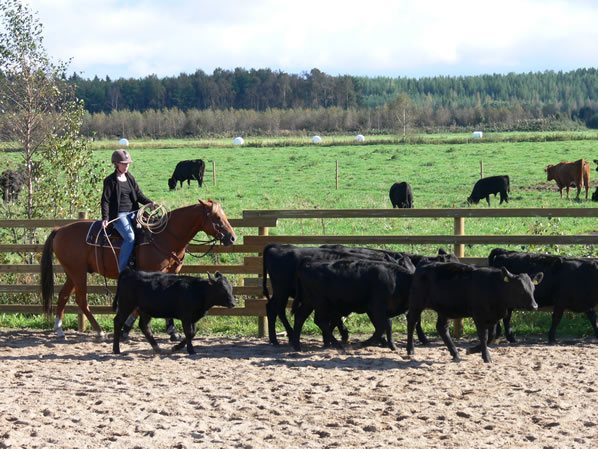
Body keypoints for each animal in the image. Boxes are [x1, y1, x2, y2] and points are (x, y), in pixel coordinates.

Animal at [39, 198, 237, 338]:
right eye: (217, 217)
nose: (232, 238)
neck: (164, 236)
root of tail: (59, 230)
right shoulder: (151, 274)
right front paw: (126, 328)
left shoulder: (171, 273)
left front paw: (172, 331)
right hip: (78, 272)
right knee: (81, 300)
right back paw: (99, 331)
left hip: (72, 272)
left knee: (64, 295)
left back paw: (59, 329)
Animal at [408, 260, 544, 362]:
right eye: (520, 290)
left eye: (533, 289)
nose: (534, 306)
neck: (495, 287)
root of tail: (423, 265)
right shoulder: (478, 315)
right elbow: (483, 336)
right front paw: (486, 357)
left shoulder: (494, 317)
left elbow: (491, 336)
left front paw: (472, 350)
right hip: (416, 303)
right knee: (412, 322)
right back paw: (410, 350)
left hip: (444, 310)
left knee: (442, 327)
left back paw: (455, 353)